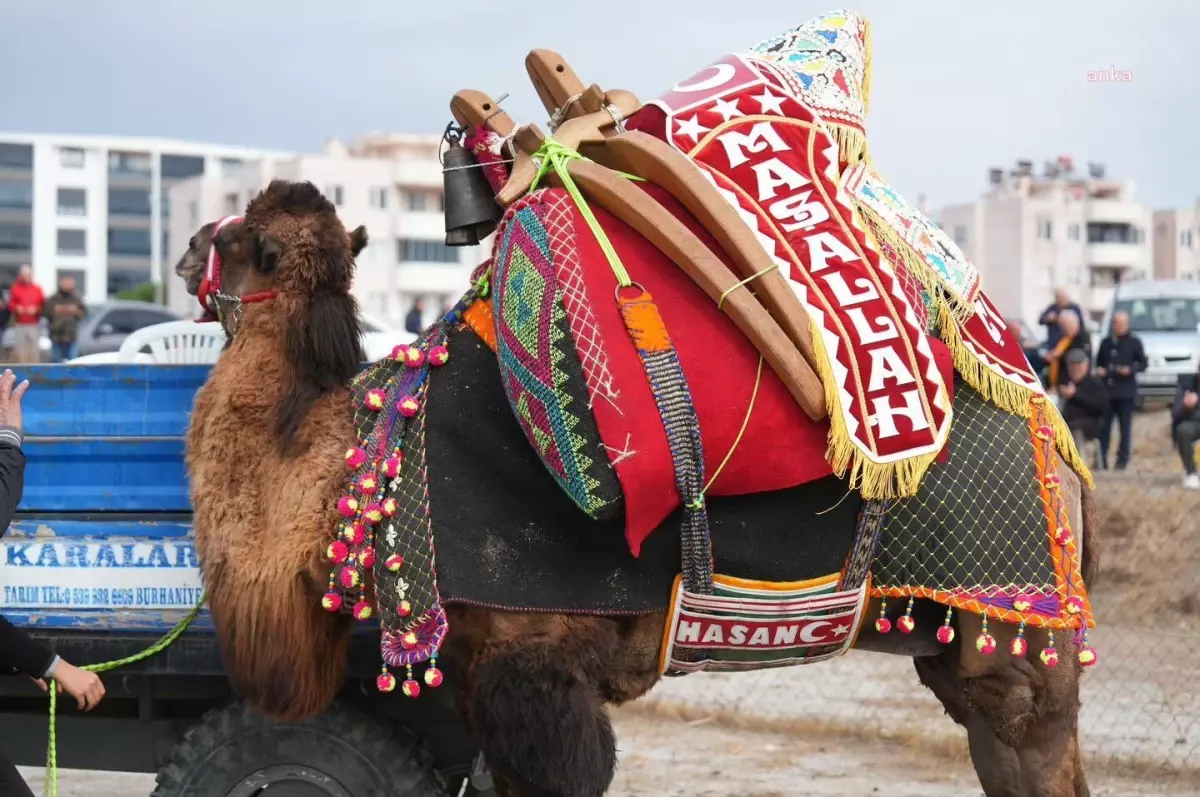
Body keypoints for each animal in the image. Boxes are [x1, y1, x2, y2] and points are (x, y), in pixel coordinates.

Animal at [187, 180, 1099, 797]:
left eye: (240, 235)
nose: (189, 238)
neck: (352, 462)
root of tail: (1054, 426)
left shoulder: (537, 653)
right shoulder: (482, 663)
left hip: (1017, 628)